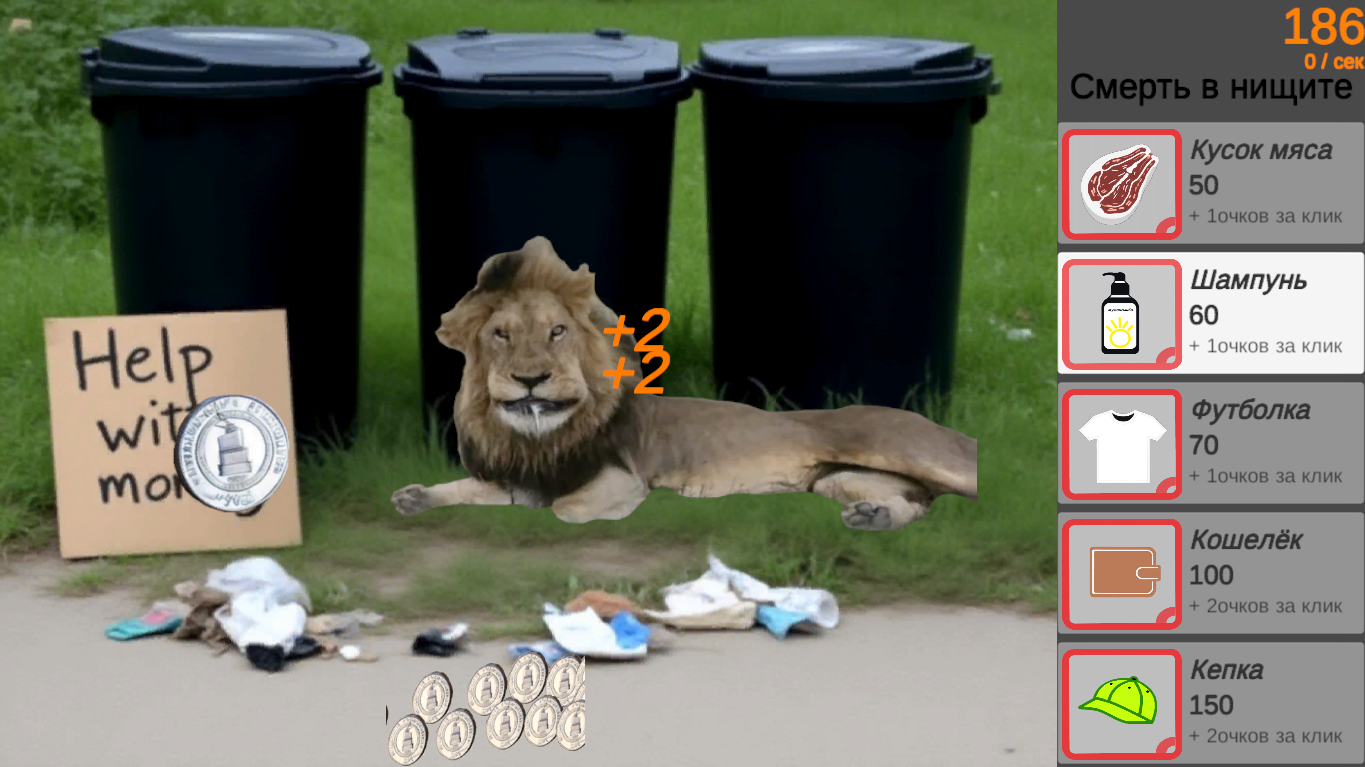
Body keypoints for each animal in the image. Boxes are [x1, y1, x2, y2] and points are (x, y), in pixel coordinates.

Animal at [391, 236, 977, 531]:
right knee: (918, 504)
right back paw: (874, 517)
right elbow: (468, 489)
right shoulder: (516, 476)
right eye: (501, 335)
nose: (530, 379)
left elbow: (566, 508)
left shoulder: (622, 478)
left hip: (906, 451)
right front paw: (414, 496)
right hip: (839, 480)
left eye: (557, 332)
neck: (536, 437)